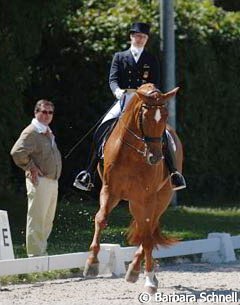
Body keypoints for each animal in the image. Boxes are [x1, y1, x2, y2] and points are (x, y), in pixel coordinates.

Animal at [84, 83, 184, 292]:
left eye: (165, 116)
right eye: (145, 116)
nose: (155, 157)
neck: (133, 153)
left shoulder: (145, 198)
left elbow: (146, 237)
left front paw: (150, 279)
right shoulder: (109, 190)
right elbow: (101, 219)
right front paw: (92, 263)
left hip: (159, 198)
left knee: (148, 230)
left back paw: (137, 270)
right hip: (133, 201)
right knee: (144, 229)